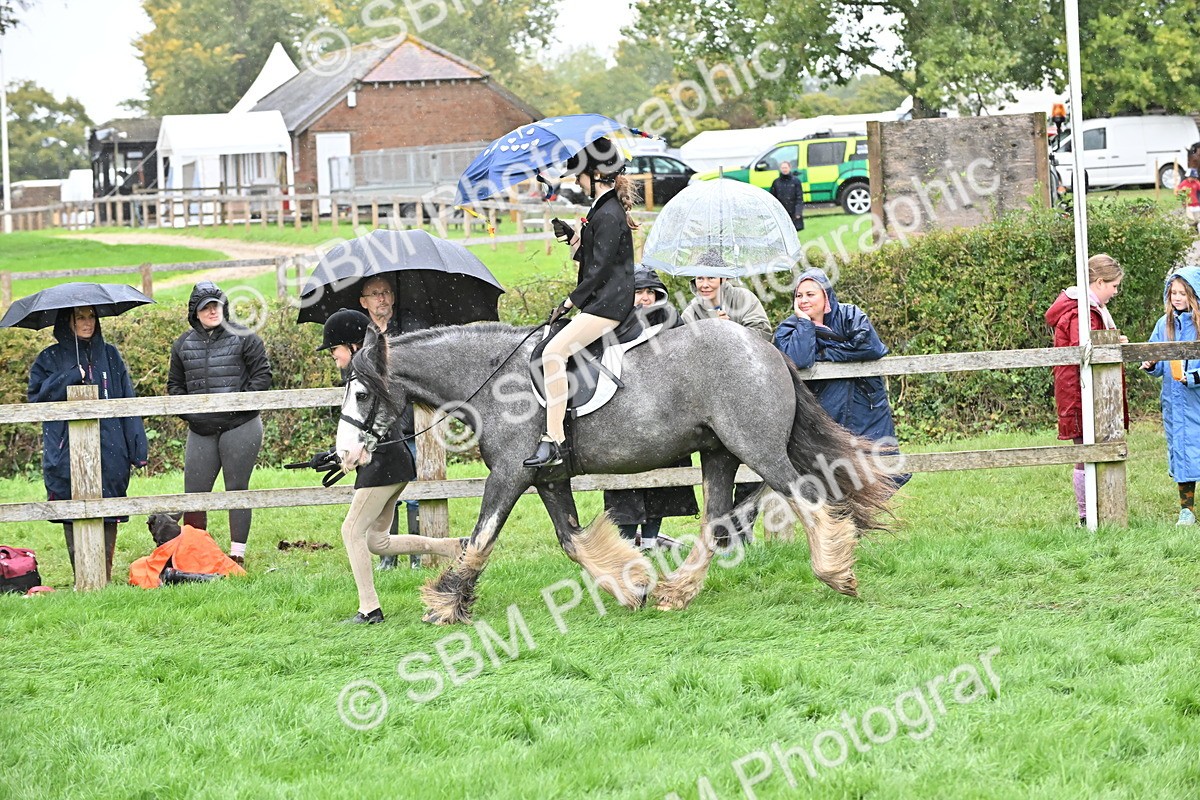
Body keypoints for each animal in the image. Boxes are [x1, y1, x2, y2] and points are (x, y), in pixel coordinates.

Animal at [336, 320, 893, 624]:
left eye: (361, 393)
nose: (344, 456)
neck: (493, 378)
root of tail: (764, 347)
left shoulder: (510, 476)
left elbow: (481, 539)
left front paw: (445, 603)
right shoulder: (547, 478)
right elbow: (572, 541)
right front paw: (634, 587)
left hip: (756, 448)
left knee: (805, 497)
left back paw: (836, 573)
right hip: (721, 454)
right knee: (718, 522)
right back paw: (676, 592)